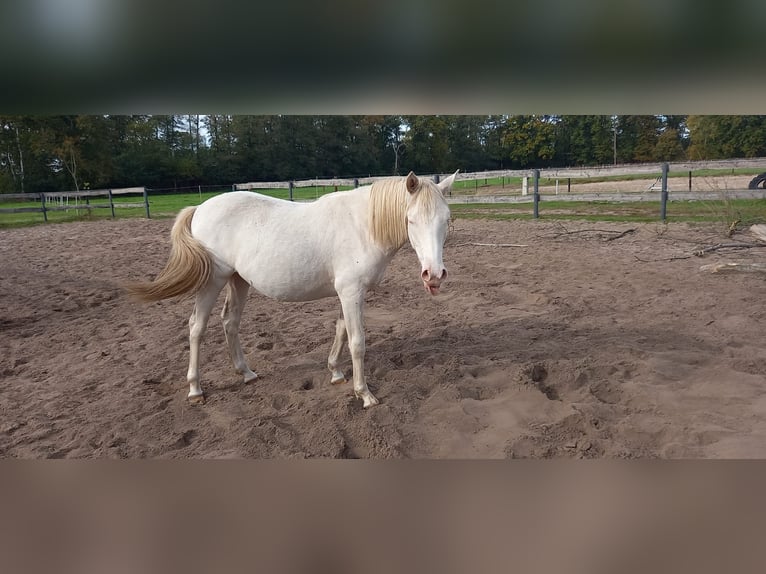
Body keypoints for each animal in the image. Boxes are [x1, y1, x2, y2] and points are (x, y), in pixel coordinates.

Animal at [127, 171, 456, 410]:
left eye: (446, 220)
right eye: (411, 220)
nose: (433, 275)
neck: (363, 226)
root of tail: (200, 208)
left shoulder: (347, 293)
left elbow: (340, 331)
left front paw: (336, 373)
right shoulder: (351, 293)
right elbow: (357, 343)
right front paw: (364, 394)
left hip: (238, 280)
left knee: (230, 322)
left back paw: (246, 373)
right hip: (213, 281)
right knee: (197, 327)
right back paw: (195, 389)